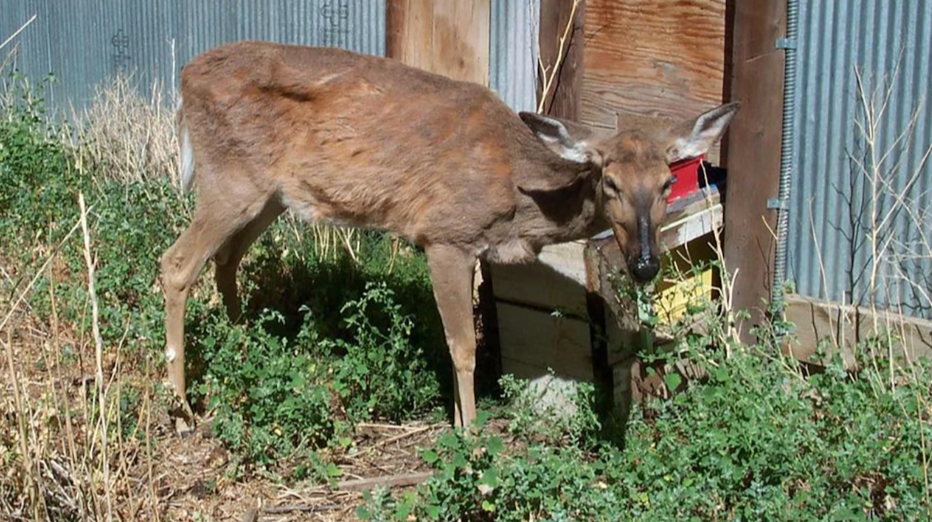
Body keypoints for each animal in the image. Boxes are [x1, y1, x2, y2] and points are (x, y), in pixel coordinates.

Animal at [162, 40, 744, 428]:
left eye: (667, 183)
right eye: (610, 181)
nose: (645, 263)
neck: (517, 196)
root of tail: (183, 78)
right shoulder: (444, 236)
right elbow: (462, 346)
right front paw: (470, 435)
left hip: (269, 195)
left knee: (225, 261)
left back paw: (246, 348)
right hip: (230, 179)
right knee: (176, 264)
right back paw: (184, 407)